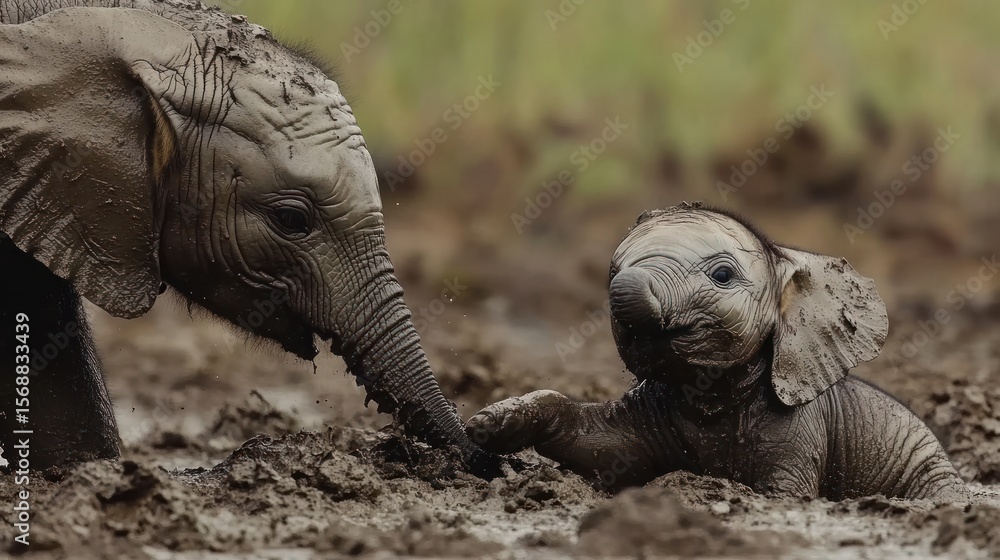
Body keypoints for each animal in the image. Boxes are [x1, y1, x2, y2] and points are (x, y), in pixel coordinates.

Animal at [467, 202, 968, 500]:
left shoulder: (802, 427)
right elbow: (603, 452)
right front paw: (489, 424)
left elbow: (785, 493)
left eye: (722, 275)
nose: (619, 284)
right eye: (611, 269)